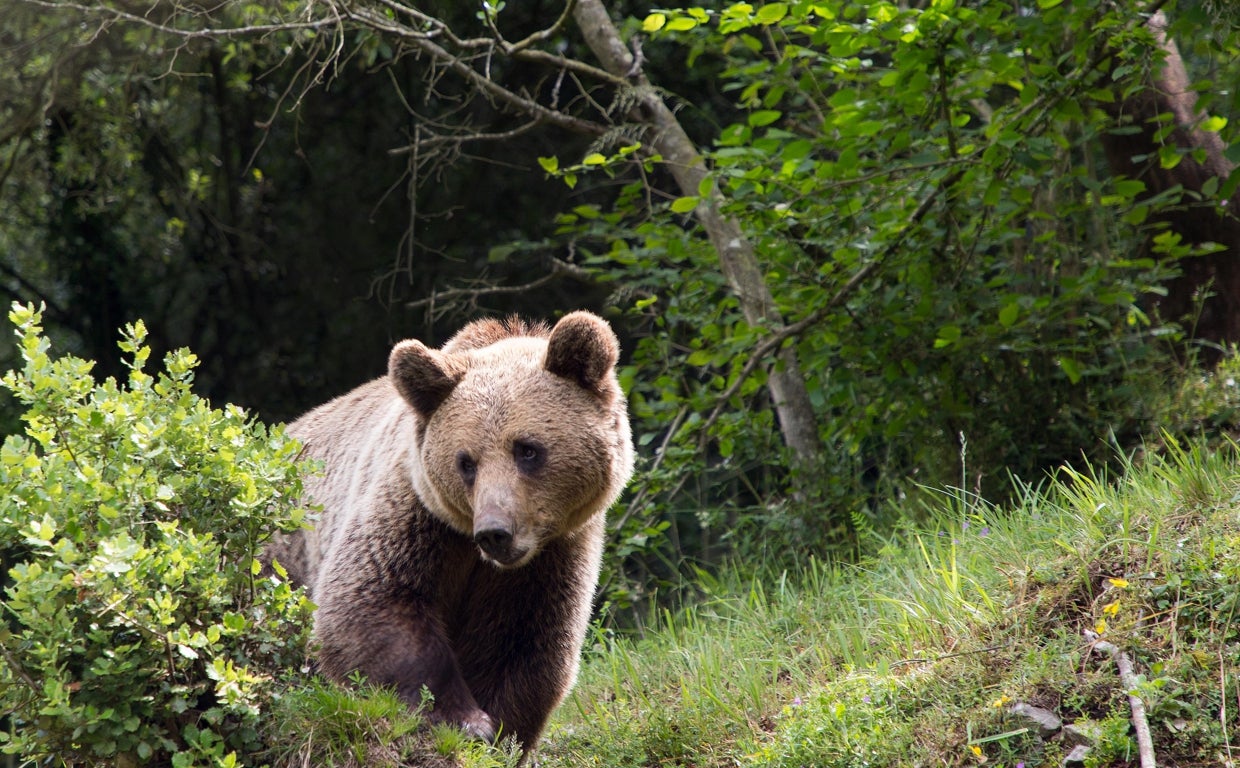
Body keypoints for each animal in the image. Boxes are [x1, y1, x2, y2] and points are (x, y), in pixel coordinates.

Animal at [263, 311, 634, 753]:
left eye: (527, 449)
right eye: (466, 462)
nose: (495, 532)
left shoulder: (552, 556)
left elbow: (523, 641)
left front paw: (499, 730)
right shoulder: (416, 516)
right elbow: (372, 602)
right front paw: (465, 719)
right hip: (281, 555)